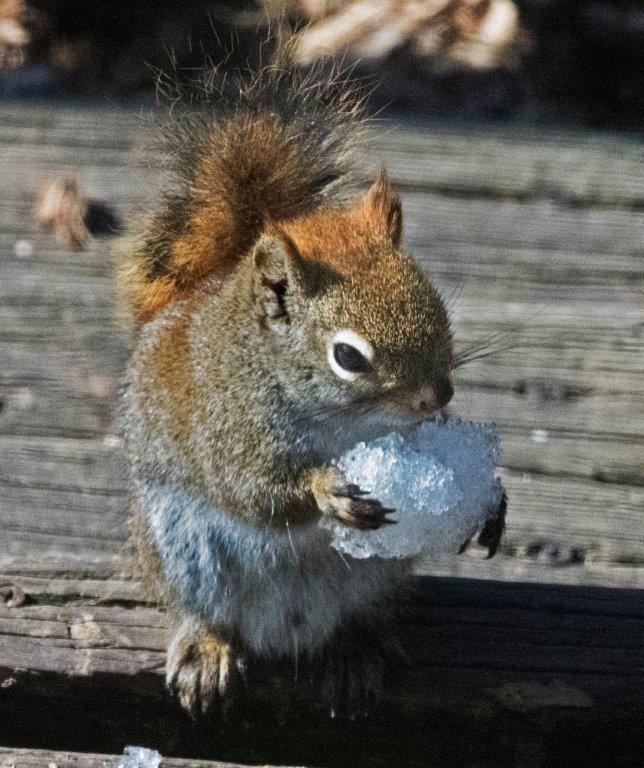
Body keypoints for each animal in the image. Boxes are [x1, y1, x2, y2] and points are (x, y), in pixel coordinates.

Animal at [119, 43, 456, 719]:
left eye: (437, 306)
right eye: (348, 356)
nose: (438, 397)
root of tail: (288, 629)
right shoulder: (225, 427)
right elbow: (254, 491)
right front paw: (326, 491)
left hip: (374, 574)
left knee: (355, 617)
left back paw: (354, 651)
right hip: (182, 548)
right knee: (205, 609)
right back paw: (207, 647)